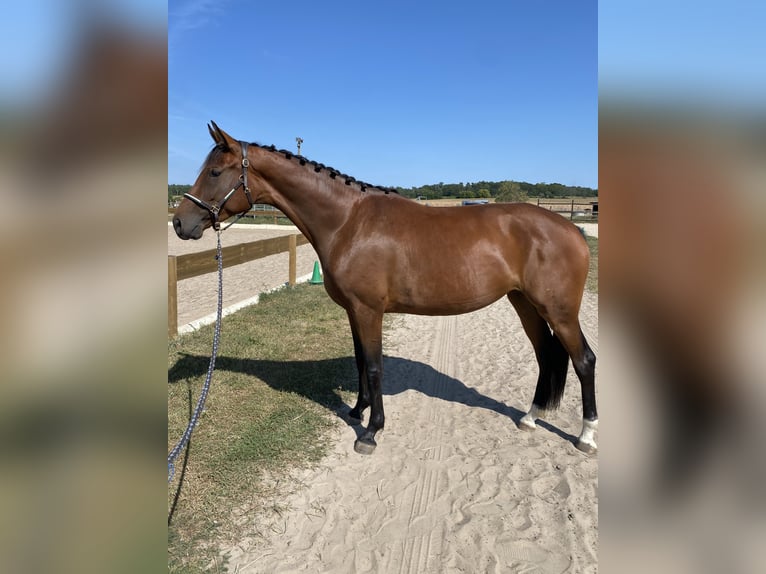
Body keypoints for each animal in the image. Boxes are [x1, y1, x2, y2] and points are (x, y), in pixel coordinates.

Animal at [174, 124, 600, 456]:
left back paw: (586, 436)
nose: (181, 223)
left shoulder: (369, 310)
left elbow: (376, 366)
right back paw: (530, 417)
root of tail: (571, 229)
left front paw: (371, 431)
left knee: (584, 361)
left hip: (559, 311)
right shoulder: (353, 311)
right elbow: (361, 361)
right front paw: (357, 411)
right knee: (546, 356)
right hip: (525, 303)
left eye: (214, 172)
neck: (348, 221)